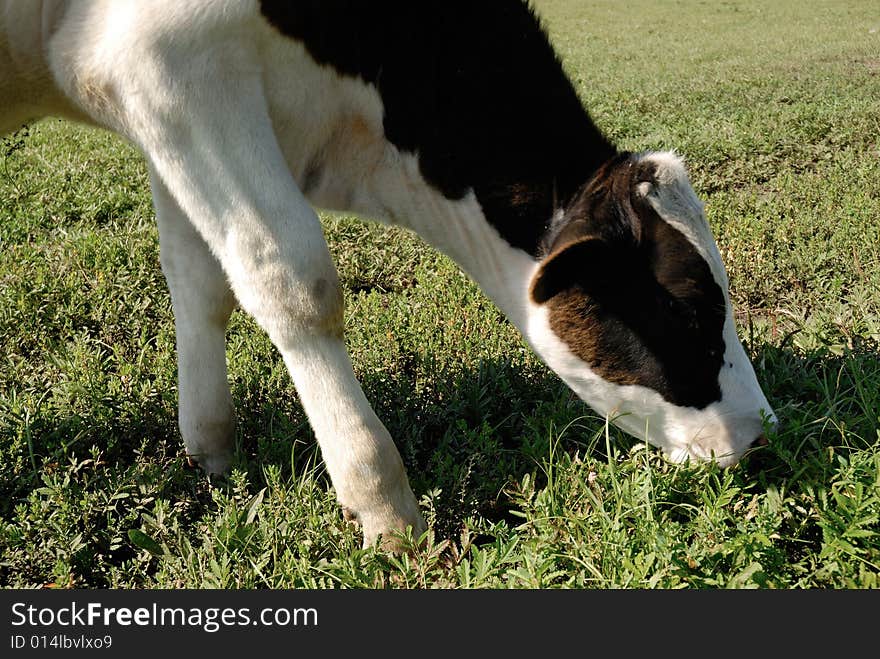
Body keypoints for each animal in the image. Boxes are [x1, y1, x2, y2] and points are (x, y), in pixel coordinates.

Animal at [1, 0, 776, 548]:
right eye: (688, 308)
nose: (761, 435)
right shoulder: (167, 64)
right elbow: (294, 282)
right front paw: (386, 511)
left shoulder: (166, 110)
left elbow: (201, 283)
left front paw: (213, 453)